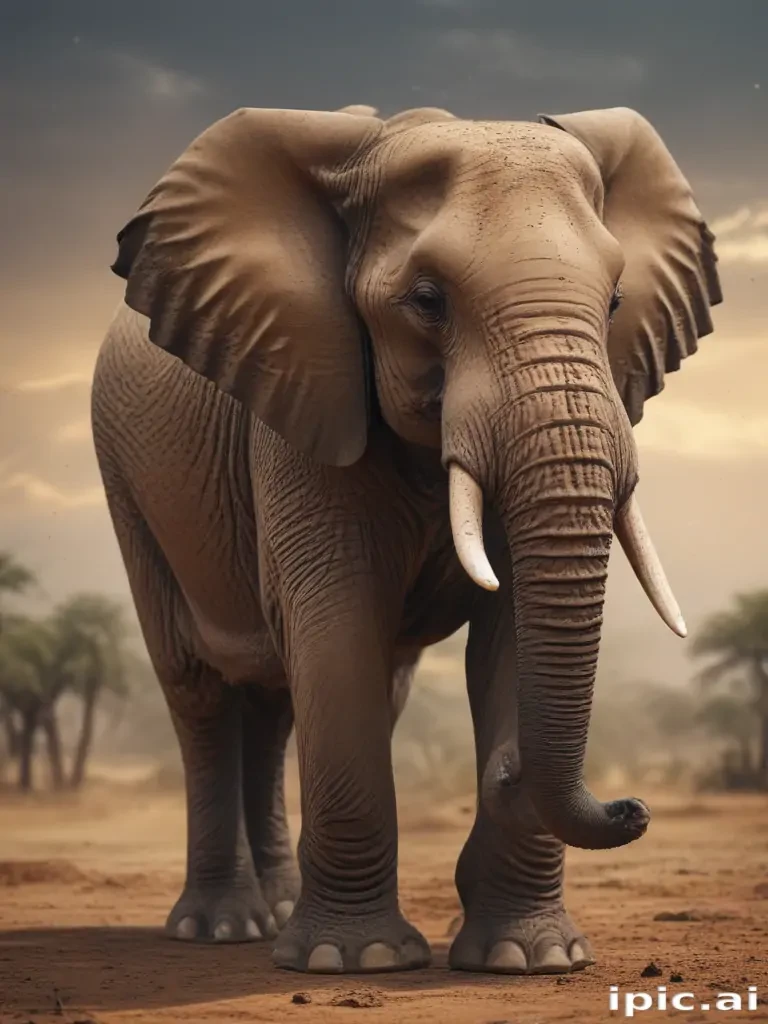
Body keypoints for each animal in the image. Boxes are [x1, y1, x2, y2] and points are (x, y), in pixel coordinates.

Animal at [91, 101, 721, 976]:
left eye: (617, 299)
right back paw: (226, 928)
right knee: (200, 693)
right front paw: (352, 961)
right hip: (128, 482)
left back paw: (274, 912)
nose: (633, 806)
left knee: (281, 702)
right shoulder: (305, 391)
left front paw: (530, 960)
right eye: (427, 301)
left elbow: (506, 634)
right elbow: (336, 628)